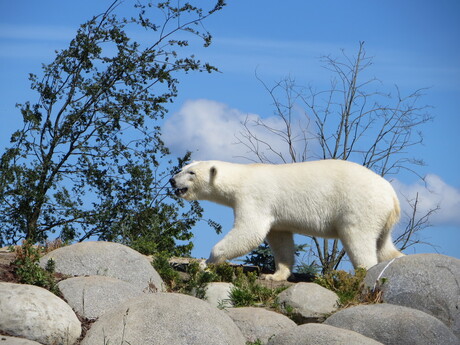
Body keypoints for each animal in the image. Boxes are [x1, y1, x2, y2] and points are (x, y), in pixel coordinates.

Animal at [170, 159, 402, 280]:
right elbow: (280, 239)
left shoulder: (254, 198)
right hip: (381, 218)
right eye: (182, 168)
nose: (172, 180)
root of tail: (392, 196)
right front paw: (275, 275)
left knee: (358, 240)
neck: (243, 176)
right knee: (384, 246)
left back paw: (361, 275)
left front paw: (205, 263)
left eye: (191, 172)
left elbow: (249, 232)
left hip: (359, 207)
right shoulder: (276, 213)